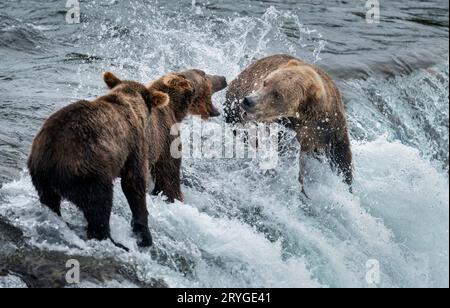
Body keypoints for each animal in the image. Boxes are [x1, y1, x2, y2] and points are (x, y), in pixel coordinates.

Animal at [28, 73, 169, 249]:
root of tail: (50, 158)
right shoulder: (133, 145)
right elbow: (133, 183)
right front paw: (144, 235)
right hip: (88, 169)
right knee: (100, 204)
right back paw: (114, 241)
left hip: (41, 176)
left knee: (50, 201)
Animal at [223, 53, 354, 192]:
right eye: (265, 82)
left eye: (277, 94)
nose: (248, 101)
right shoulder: (283, 130)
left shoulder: (331, 128)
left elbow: (341, 157)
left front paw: (347, 185)